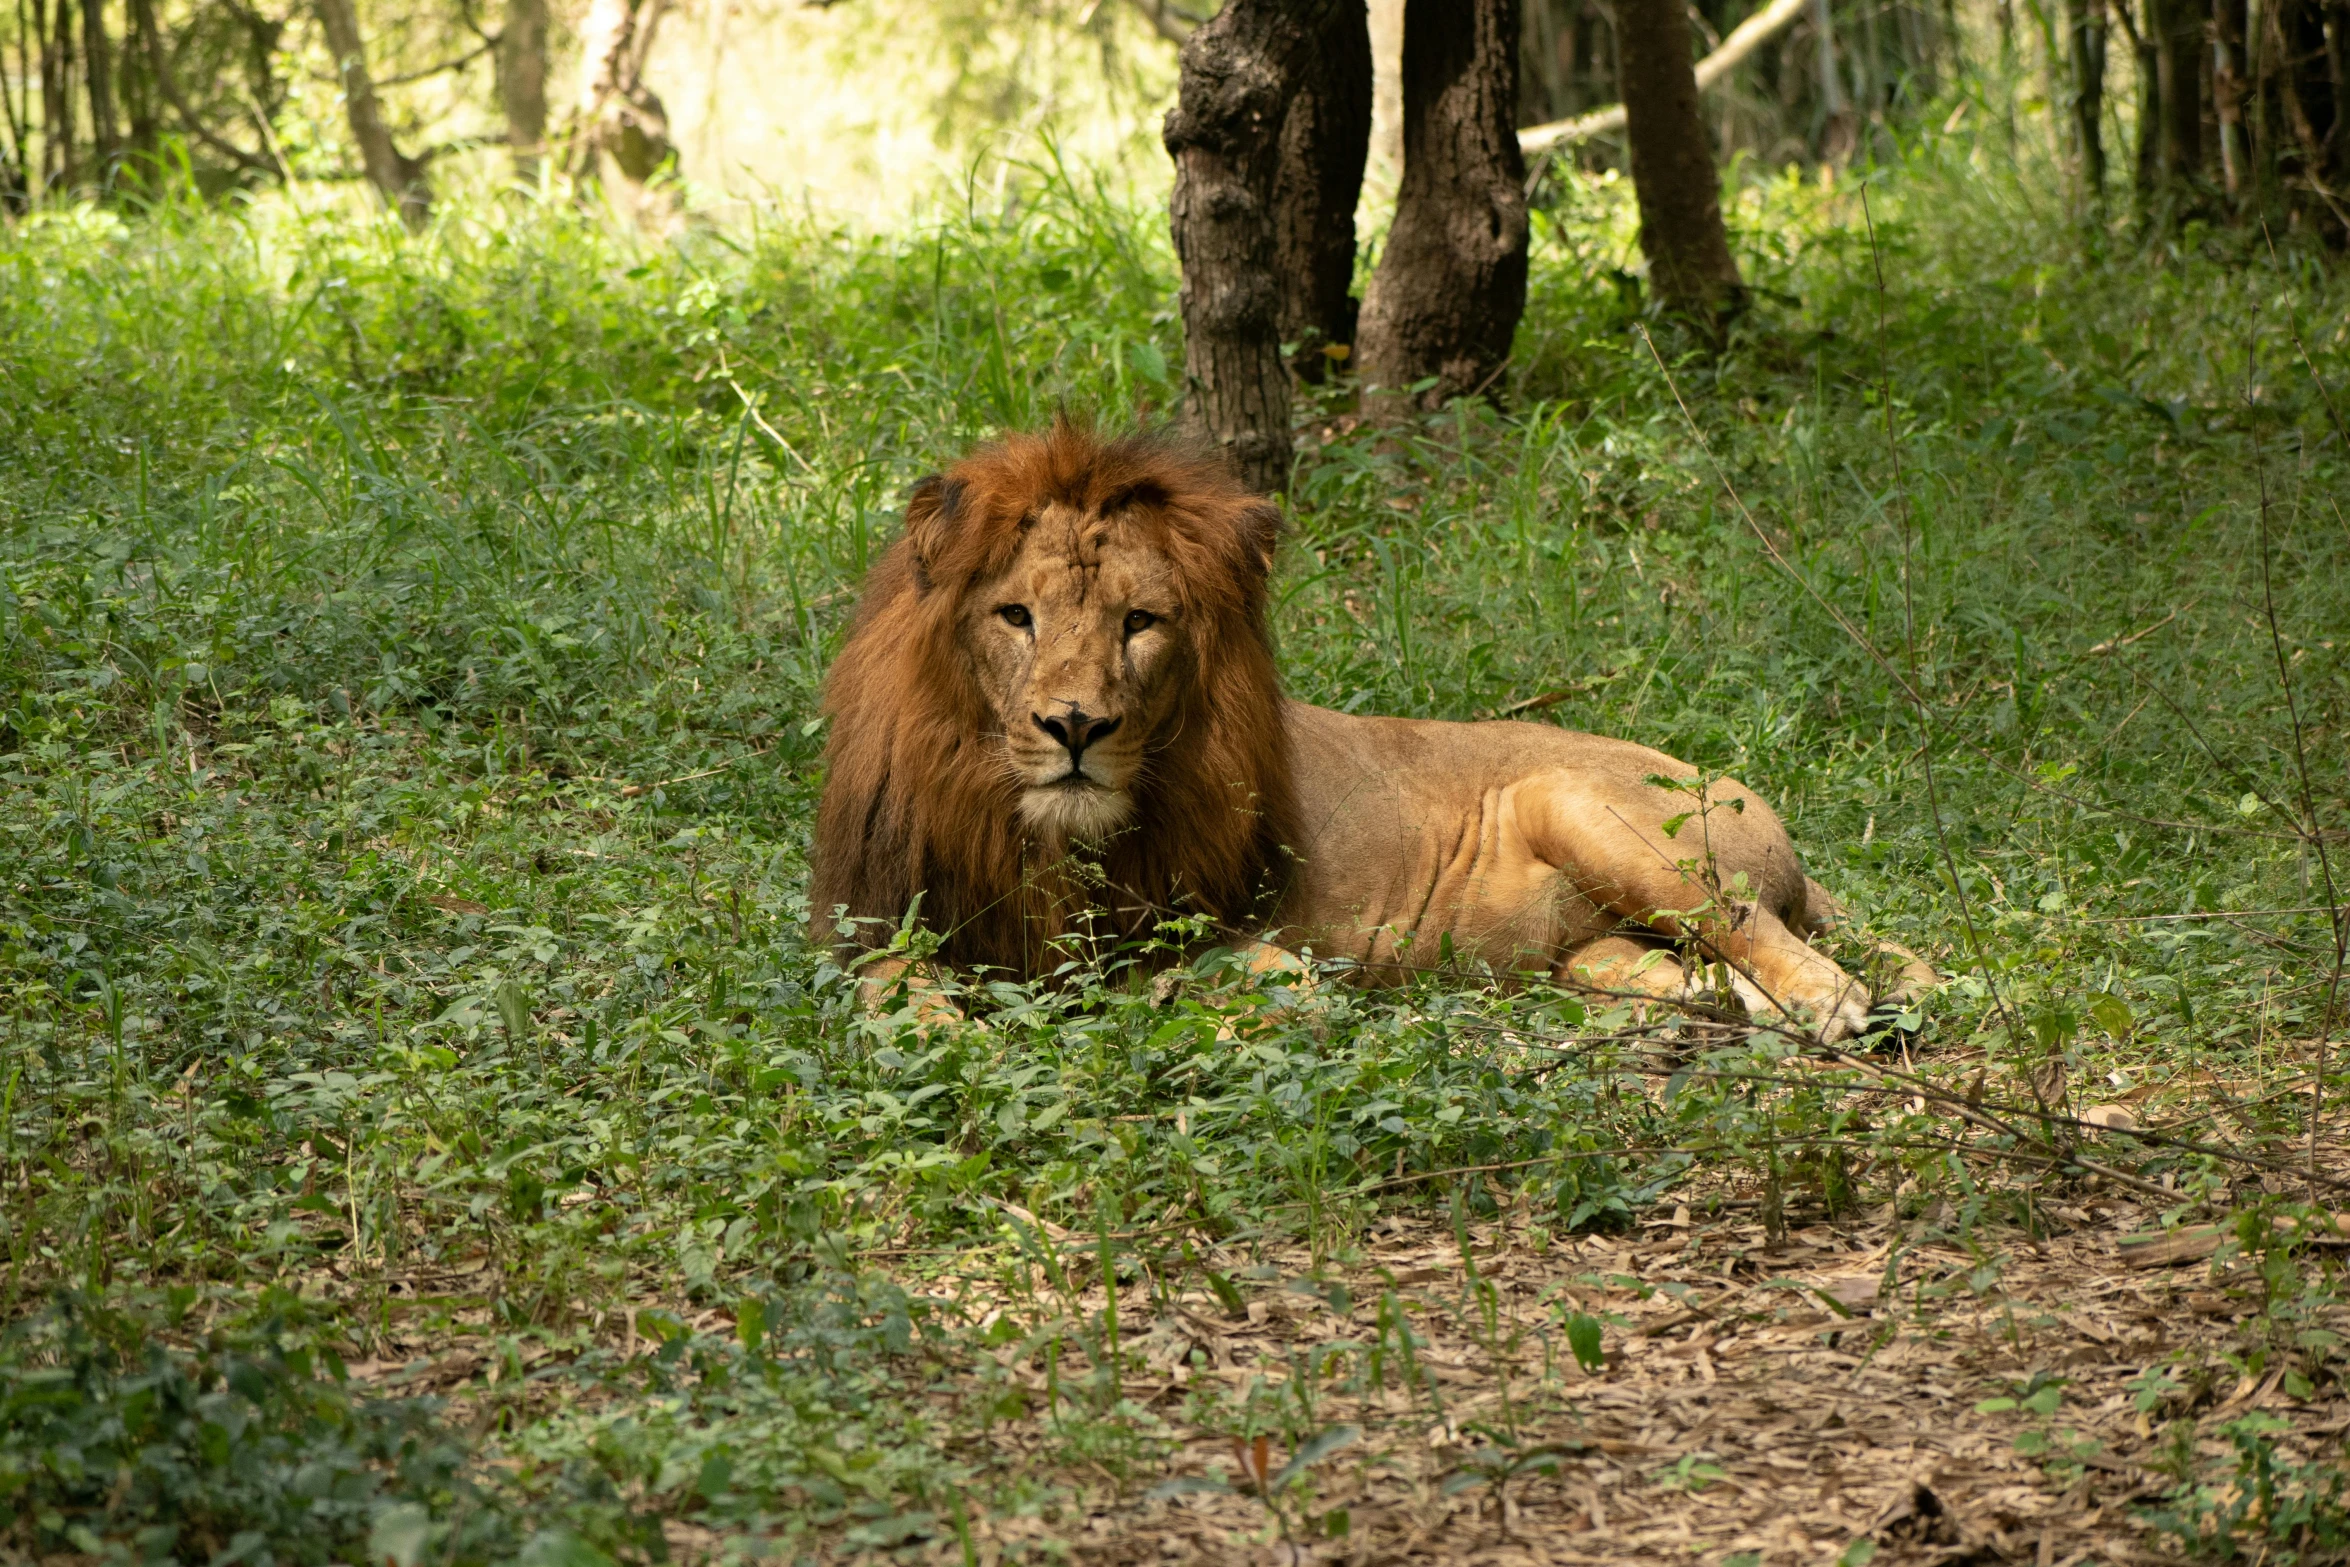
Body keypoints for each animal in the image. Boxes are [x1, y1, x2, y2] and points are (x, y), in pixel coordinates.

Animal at [808, 422, 1926, 1047]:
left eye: (1140, 621)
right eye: (1017, 616)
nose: (1075, 725)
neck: (1038, 836)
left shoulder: (1232, 931)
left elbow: (1200, 982)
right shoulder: (879, 919)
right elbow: (886, 992)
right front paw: (942, 1033)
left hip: (1578, 800)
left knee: (1772, 938)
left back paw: (1818, 1010)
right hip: (1592, 947)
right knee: (1679, 967)